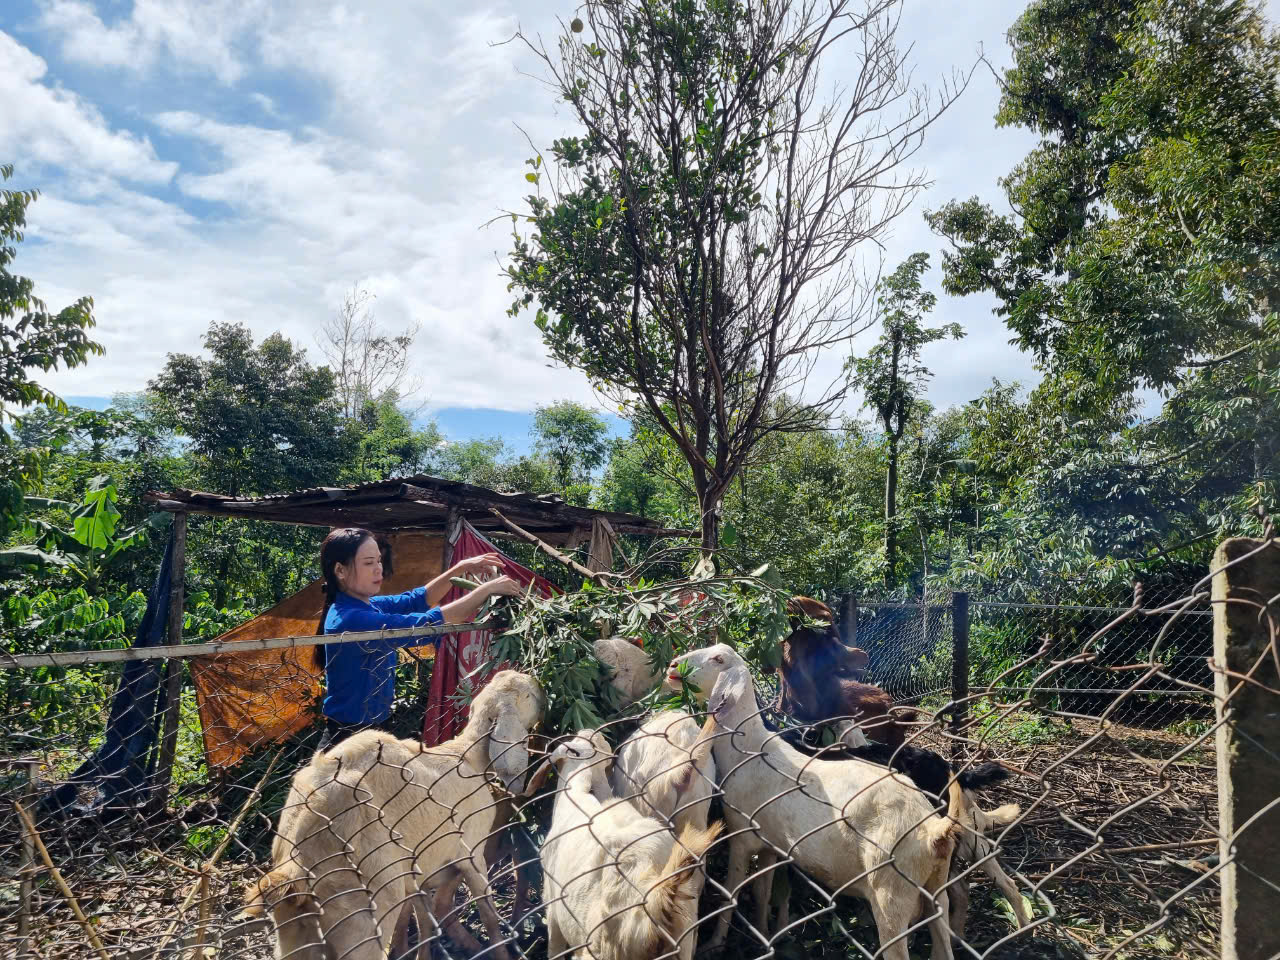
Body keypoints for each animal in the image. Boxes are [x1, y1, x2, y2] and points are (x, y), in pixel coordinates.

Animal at [244, 670, 545, 960]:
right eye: (527, 694)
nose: (539, 685)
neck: (467, 757)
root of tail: (295, 869)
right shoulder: (469, 848)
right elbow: (486, 912)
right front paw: (500, 951)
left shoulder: (417, 868)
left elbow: (420, 919)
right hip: (364, 912)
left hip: (297, 931)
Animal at [670, 647, 962, 960]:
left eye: (718, 660)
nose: (673, 666)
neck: (747, 749)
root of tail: (934, 832)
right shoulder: (771, 844)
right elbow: (763, 892)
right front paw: (764, 933)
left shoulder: (741, 835)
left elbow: (731, 895)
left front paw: (715, 943)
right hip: (936, 889)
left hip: (891, 895)